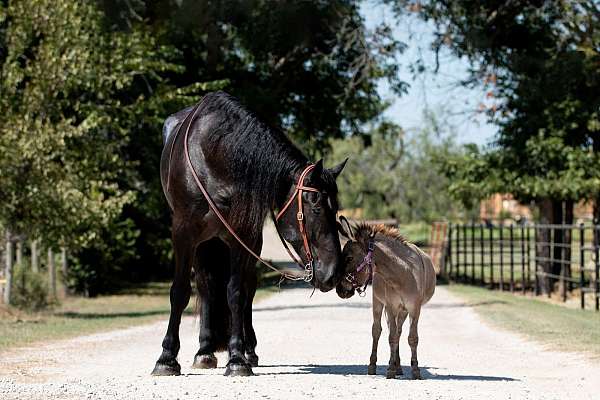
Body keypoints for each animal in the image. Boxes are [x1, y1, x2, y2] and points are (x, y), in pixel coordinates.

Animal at [152, 92, 346, 376]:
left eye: (336, 210)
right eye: (316, 206)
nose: (333, 273)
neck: (213, 156)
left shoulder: (242, 236)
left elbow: (236, 293)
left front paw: (237, 359)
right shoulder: (183, 234)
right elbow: (180, 292)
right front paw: (166, 358)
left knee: (246, 290)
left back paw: (247, 350)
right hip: (204, 243)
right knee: (206, 285)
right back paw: (204, 351)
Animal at [338, 223, 436, 380]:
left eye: (349, 258)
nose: (339, 290)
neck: (403, 273)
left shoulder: (414, 309)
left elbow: (412, 338)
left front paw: (415, 370)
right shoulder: (391, 307)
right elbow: (391, 338)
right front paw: (390, 370)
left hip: (403, 311)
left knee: (398, 332)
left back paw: (398, 366)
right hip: (378, 303)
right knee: (377, 331)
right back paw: (374, 366)